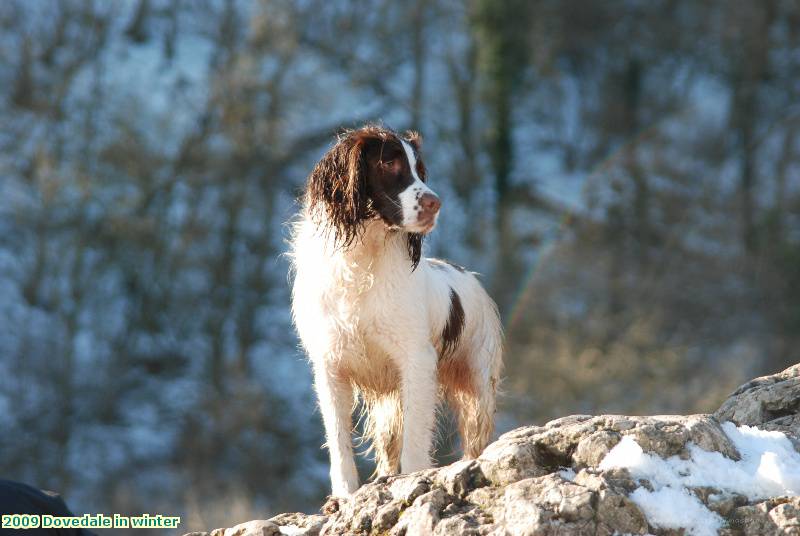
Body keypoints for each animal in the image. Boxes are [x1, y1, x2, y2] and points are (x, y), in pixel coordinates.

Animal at [290, 125, 500, 498]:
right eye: (389, 163)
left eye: (421, 170)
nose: (435, 203)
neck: (362, 260)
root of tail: (469, 275)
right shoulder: (330, 366)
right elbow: (339, 439)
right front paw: (344, 494)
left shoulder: (417, 360)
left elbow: (416, 437)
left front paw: (414, 480)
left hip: (477, 385)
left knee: (475, 438)